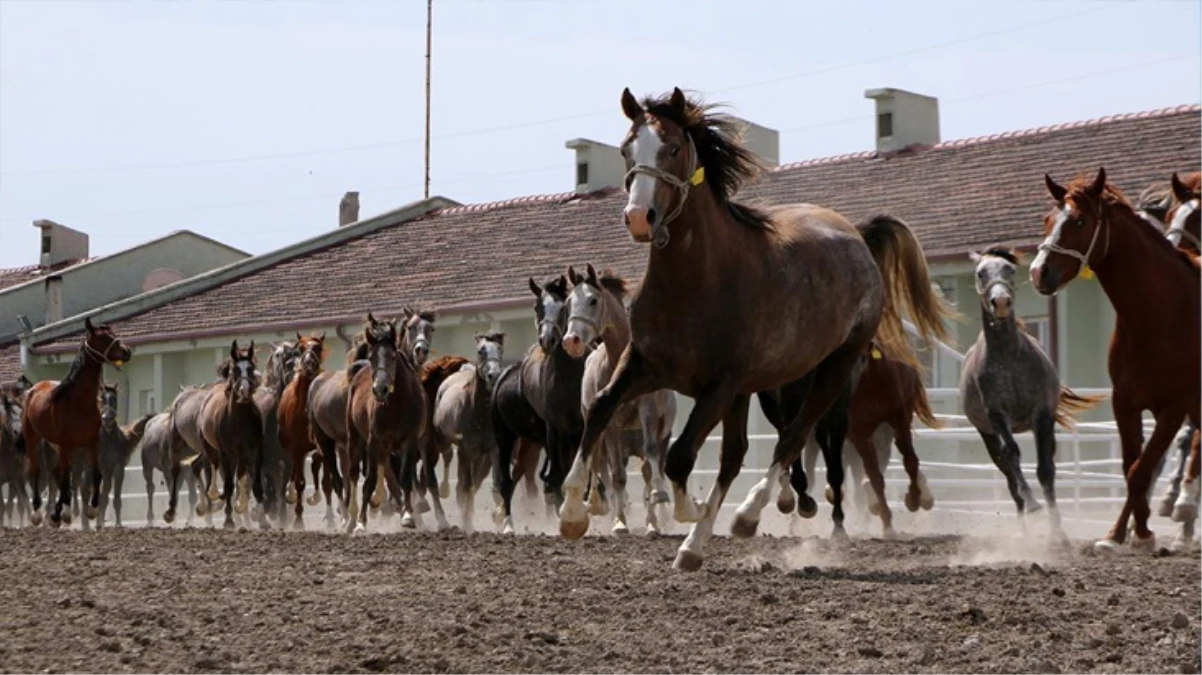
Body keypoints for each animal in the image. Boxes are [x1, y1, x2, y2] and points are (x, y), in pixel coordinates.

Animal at [21, 314, 130, 526]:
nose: (126, 351)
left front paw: (92, 510)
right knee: (37, 471)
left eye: (112, 333)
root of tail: (34, 388)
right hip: (34, 439)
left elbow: (95, 474)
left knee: (58, 473)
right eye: (103, 337)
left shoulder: (91, 443)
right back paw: (39, 513)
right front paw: (60, 513)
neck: (80, 403)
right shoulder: (67, 444)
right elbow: (66, 477)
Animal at [557, 85, 951, 566]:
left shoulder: (719, 386)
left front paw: (685, 508)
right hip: (760, 390)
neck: (697, 281)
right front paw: (572, 512)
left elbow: (679, 457)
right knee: (740, 454)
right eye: (626, 148)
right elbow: (600, 410)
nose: (638, 217)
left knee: (792, 437)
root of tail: (856, 236)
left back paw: (747, 515)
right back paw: (696, 545)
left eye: (672, 148)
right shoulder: (644, 365)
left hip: (832, 371)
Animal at [1028, 165, 1197, 550]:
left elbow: (1141, 469)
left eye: (1078, 221)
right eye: (1047, 219)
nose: (1038, 272)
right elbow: (1133, 466)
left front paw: (1139, 532)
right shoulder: (1126, 402)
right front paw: (1127, 531)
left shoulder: (1174, 406)